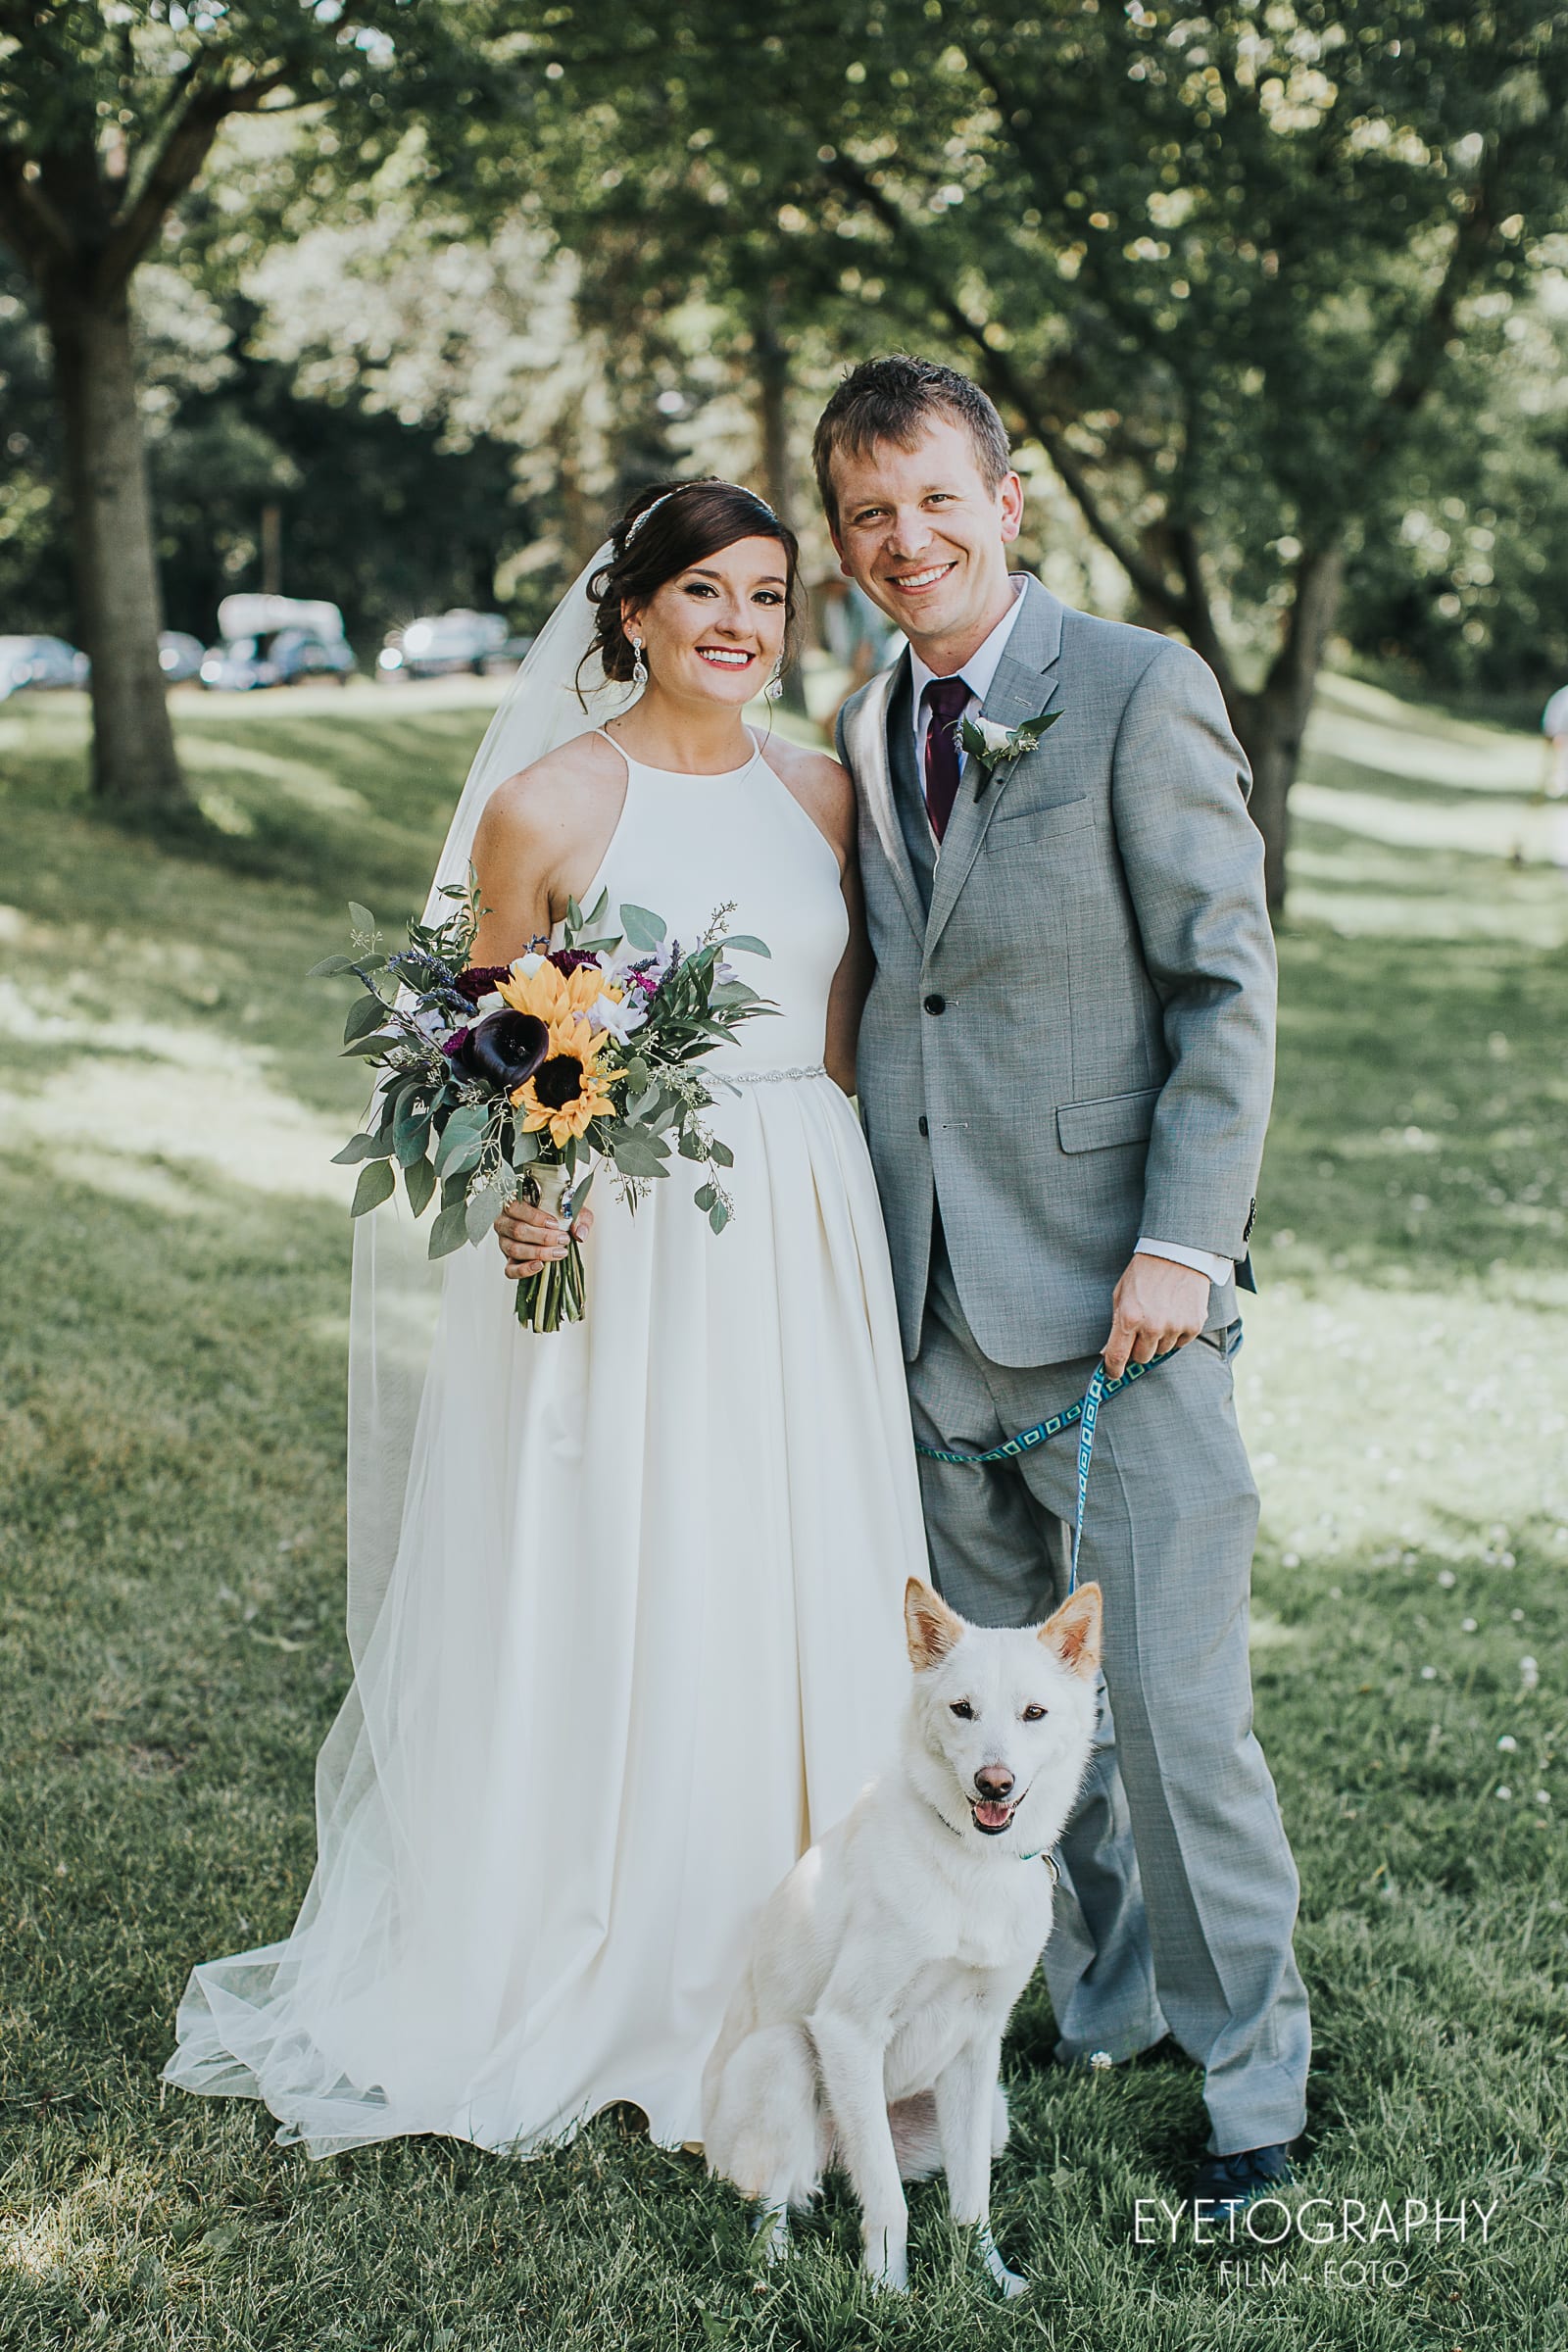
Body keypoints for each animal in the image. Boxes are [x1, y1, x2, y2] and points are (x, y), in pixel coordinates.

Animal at [705, 1571, 1100, 2285]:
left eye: (1033, 1714)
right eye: (962, 1710)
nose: (993, 1784)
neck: (972, 1864)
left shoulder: (978, 2043)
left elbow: (972, 2199)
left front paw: (992, 2281)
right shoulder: (847, 2028)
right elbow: (889, 2202)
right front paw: (885, 2289)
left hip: (989, 2111)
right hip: (787, 2057)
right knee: (772, 2205)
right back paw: (775, 2270)